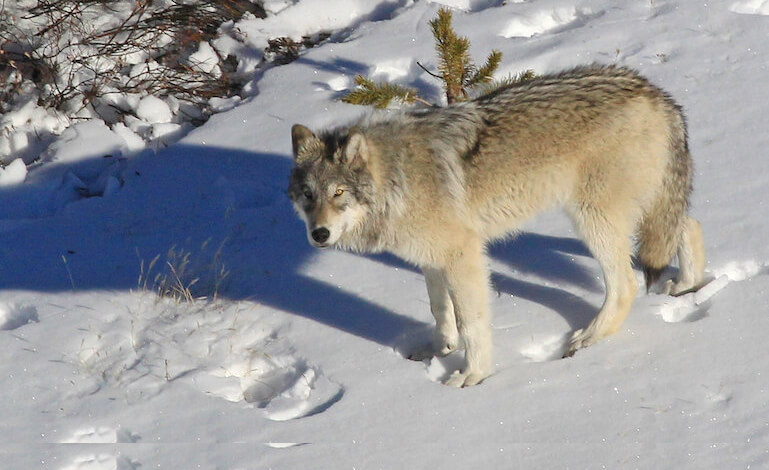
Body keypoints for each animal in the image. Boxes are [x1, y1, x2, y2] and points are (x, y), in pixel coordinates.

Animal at [287, 64, 706, 387]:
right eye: (308, 195)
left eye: (339, 192)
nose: (319, 234)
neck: (397, 178)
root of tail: (655, 92)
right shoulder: (431, 259)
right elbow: (439, 309)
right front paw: (440, 350)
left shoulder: (463, 254)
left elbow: (471, 322)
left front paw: (473, 375)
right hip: (642, 209)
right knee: (689, 225)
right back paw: (688, 285)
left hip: (593, 219)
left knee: (626, 285)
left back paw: (588, 338)